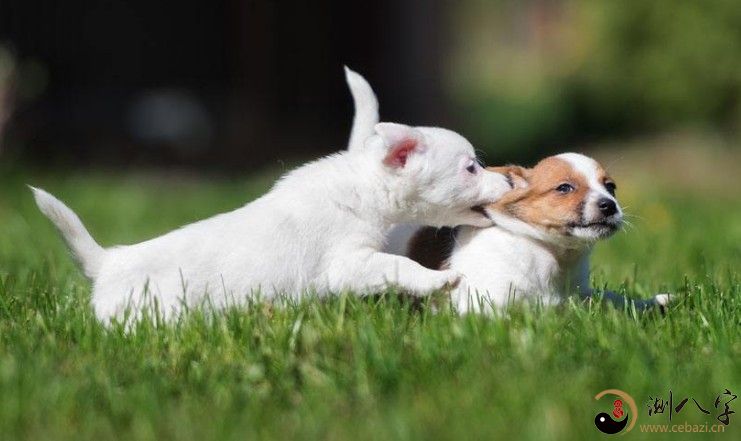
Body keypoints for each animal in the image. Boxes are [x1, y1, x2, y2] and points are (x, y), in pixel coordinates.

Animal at [31, 71, 512, 324]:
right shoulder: (349, 264)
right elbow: (398, 267)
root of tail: (107, 263)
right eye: (471, 167)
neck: (360, 187)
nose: (510, 184)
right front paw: (439, 280)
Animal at [404, 154, 672, 312]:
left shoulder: (582, 294)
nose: (609, 205)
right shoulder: (483, 305)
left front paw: (652, 302)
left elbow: (613, 298)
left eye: (611, 187)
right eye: (564, 188)